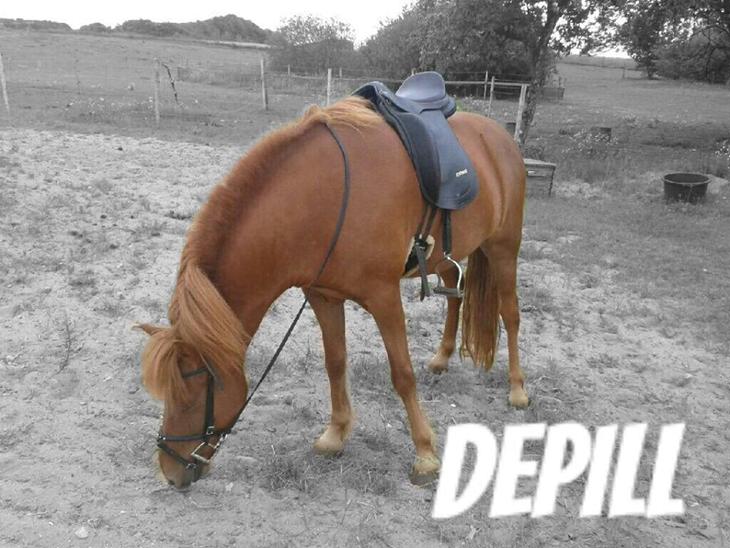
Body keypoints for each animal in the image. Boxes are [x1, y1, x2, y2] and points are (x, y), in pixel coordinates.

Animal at [137, 96, 528, 490]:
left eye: (192, 393)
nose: (170, 472)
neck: (327, 199)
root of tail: (501, 136)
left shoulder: (384, 298)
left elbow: (402, 374)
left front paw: (425, 454)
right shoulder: (323, 296)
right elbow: (335, 363)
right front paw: (336, 434)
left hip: (503, 248)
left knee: (510, 314)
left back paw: (517, 389)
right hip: (447, 257)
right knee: (454, 295)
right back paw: (442, 357)